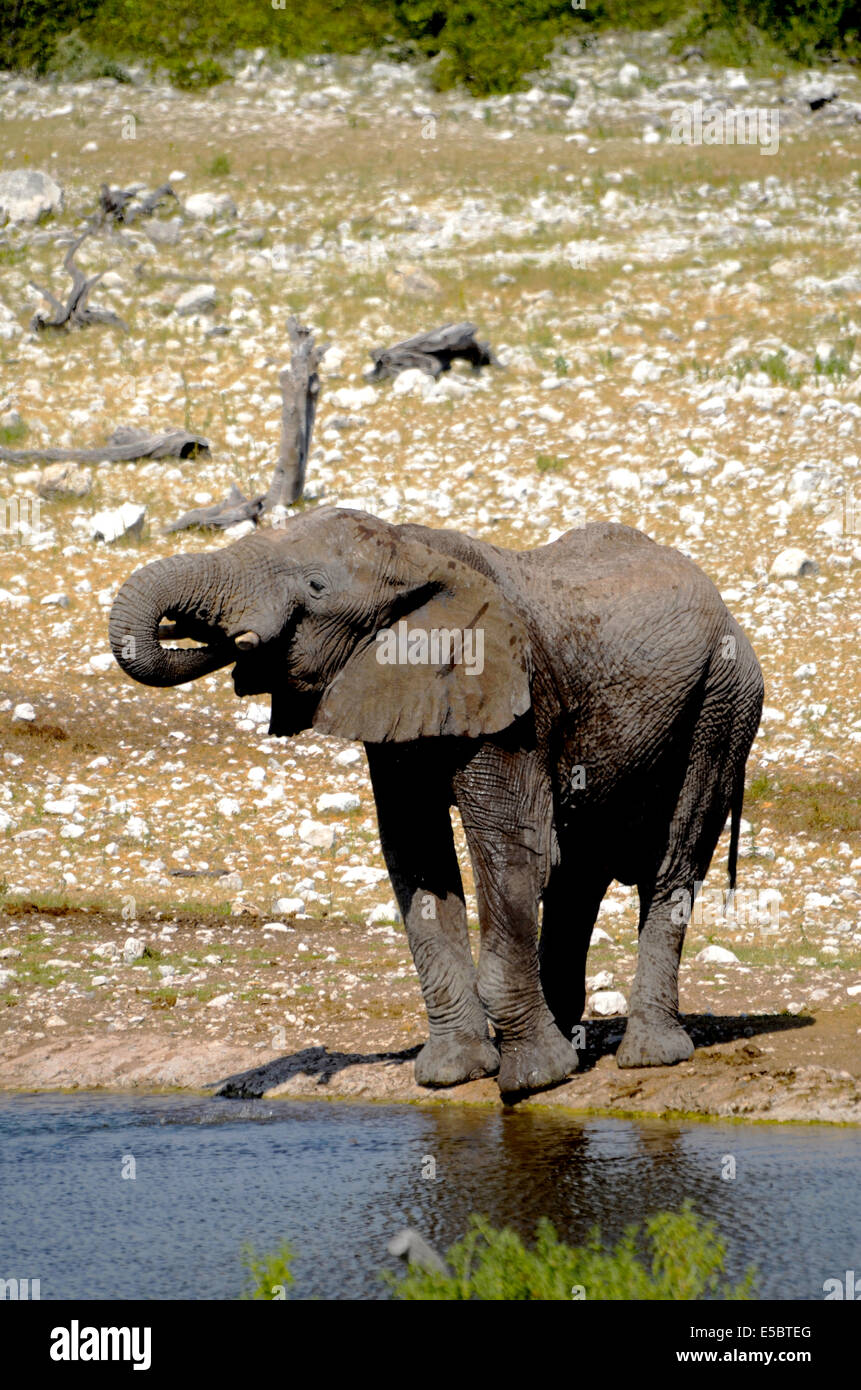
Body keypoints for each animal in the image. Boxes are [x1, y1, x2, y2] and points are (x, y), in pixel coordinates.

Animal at [111, 511, 762, 1095]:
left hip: (722, 704)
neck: (415, 552)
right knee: (581, 873)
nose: (230, 642)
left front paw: (534, 1080)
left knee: (671, 862)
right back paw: (571, 1038)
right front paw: (456, 1072)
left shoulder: (512, 708)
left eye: (316, 587)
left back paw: (648, 1056)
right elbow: (416, 855)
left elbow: (511, 848)